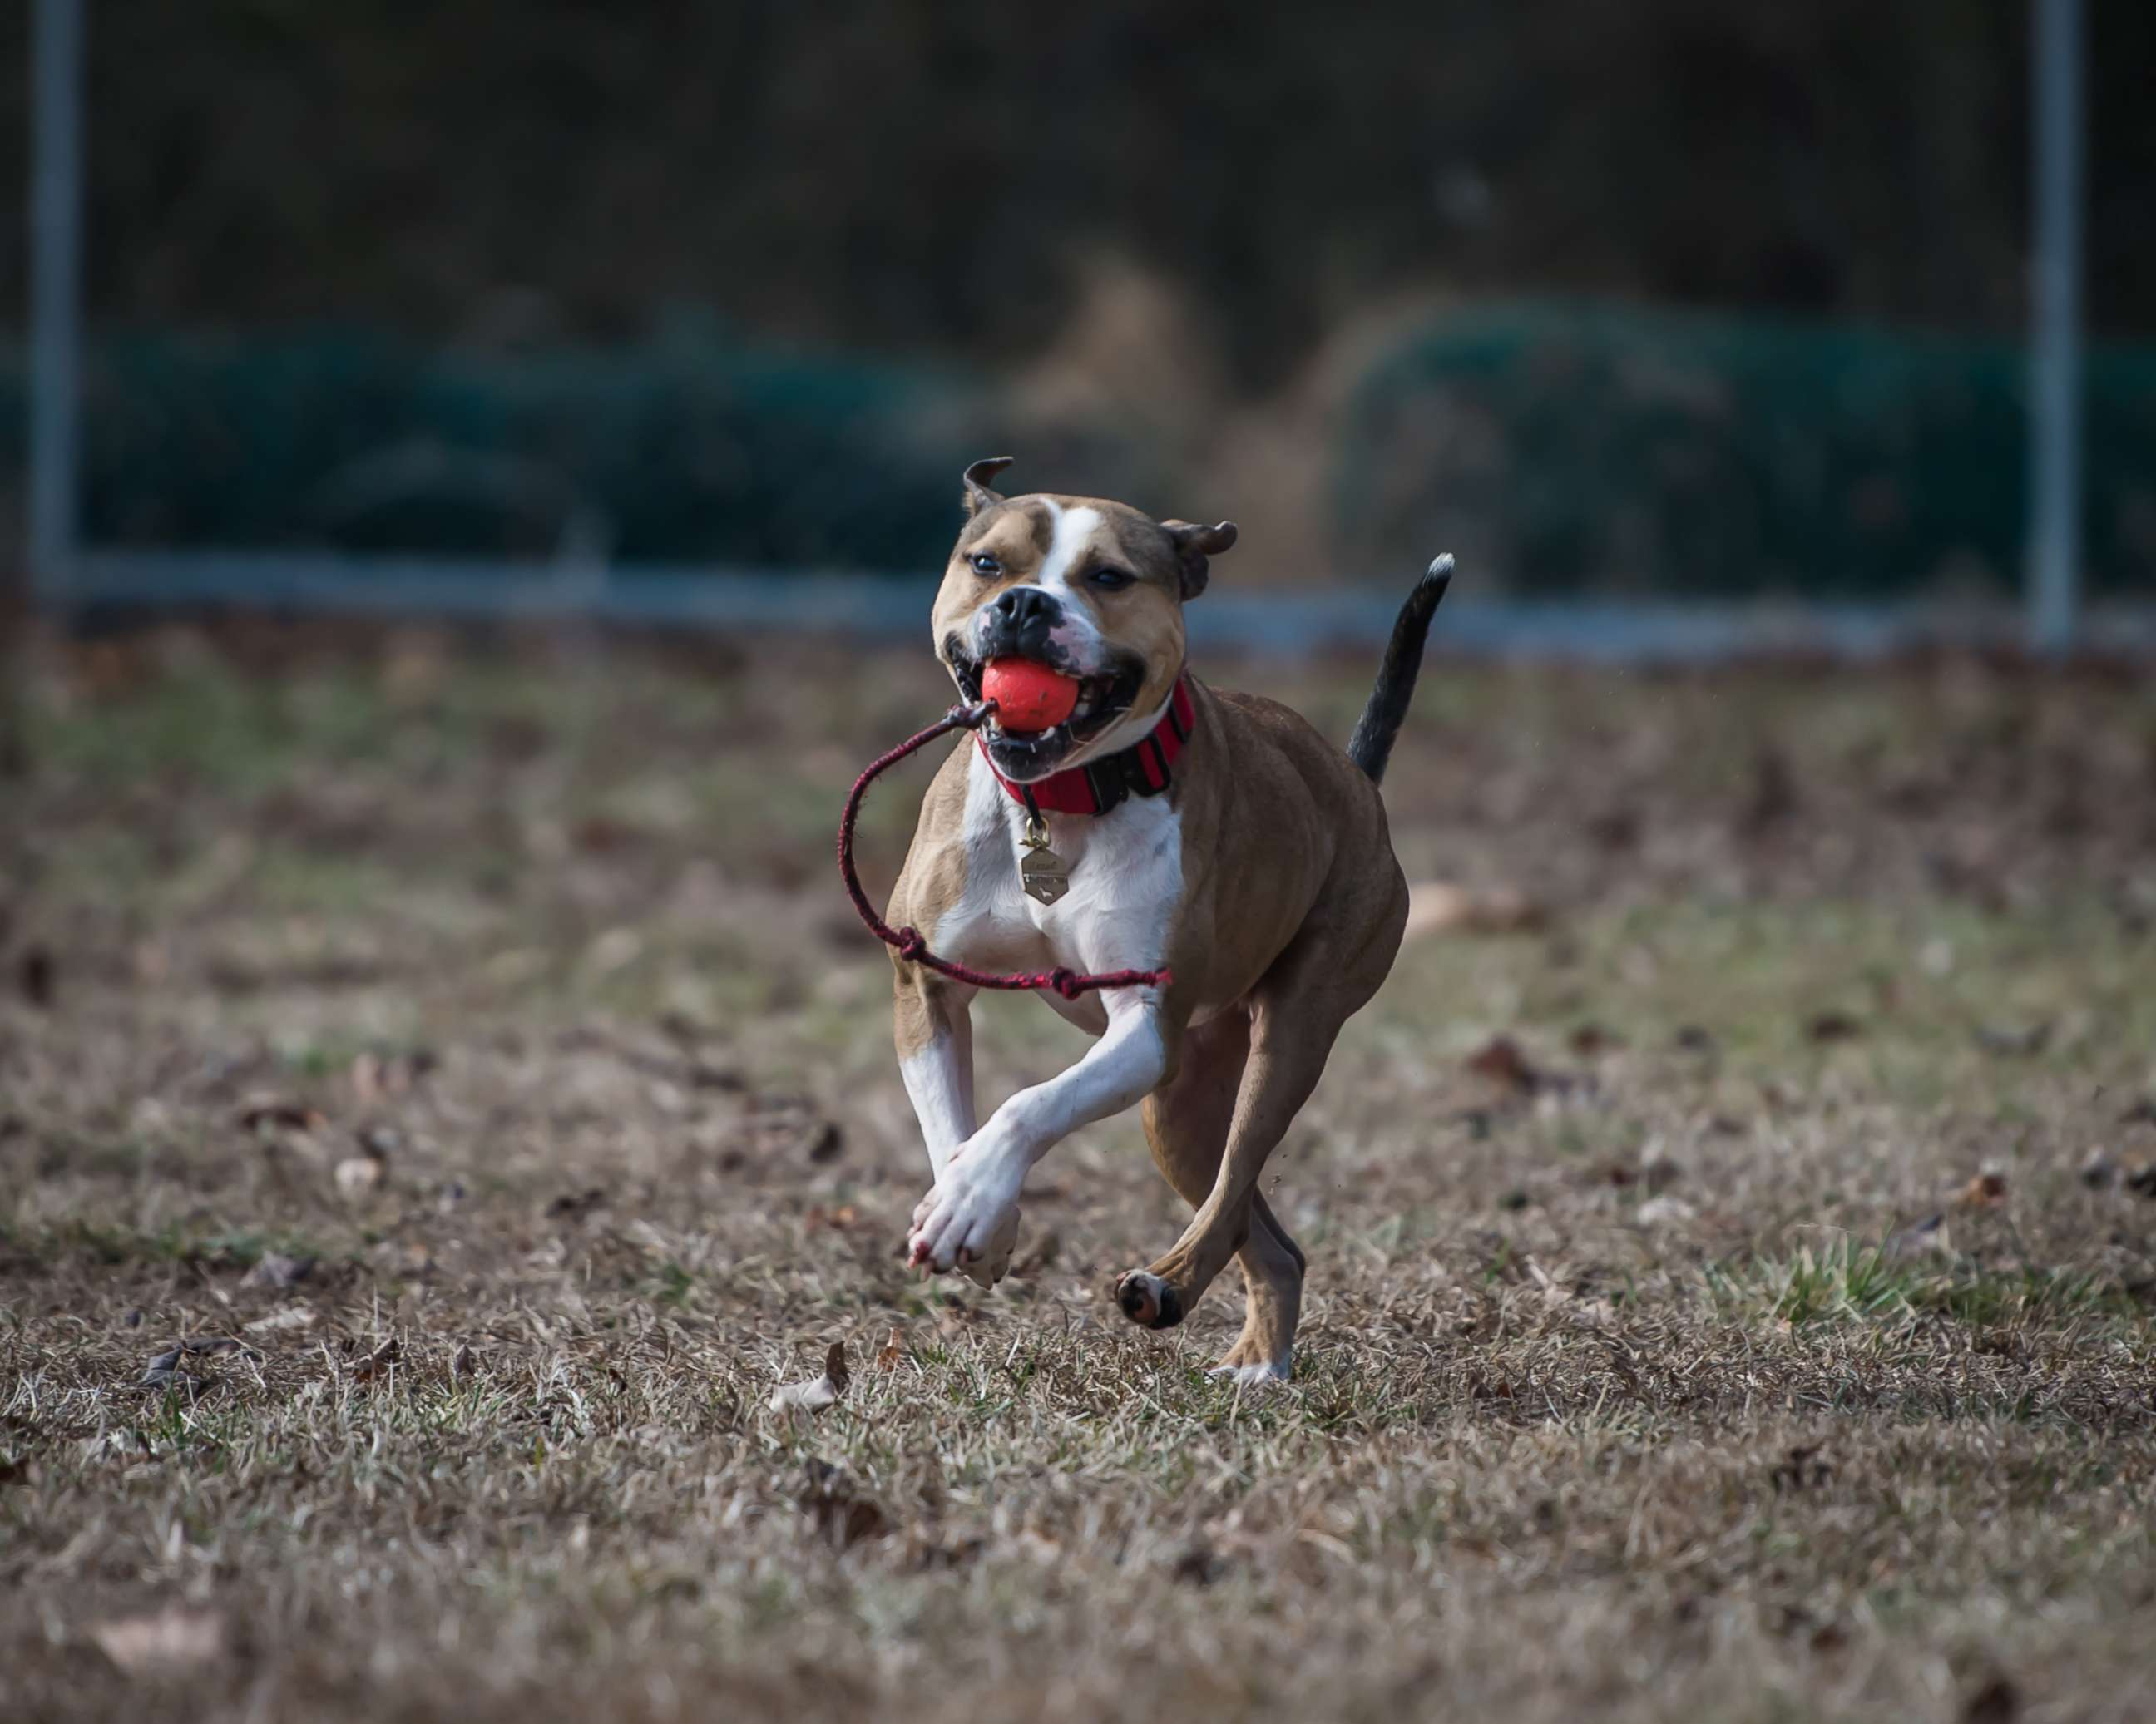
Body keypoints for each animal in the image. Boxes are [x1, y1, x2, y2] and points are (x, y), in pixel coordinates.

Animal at [883, 457, 1457, 1387]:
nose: (1025, 606)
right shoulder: (924, 985)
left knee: (1234, 1187)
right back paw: (1258, 1360)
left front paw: (974, 1198)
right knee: (1269, 1237)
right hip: (1179, 1111)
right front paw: (975, 1213)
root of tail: (1353, 778)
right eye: (987, 564)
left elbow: (1029, 1103)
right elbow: (949, 1121)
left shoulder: (1142, 1027)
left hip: (1288, 1035)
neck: (1060, 800)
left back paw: (1171, 1286)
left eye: (1109, 577)